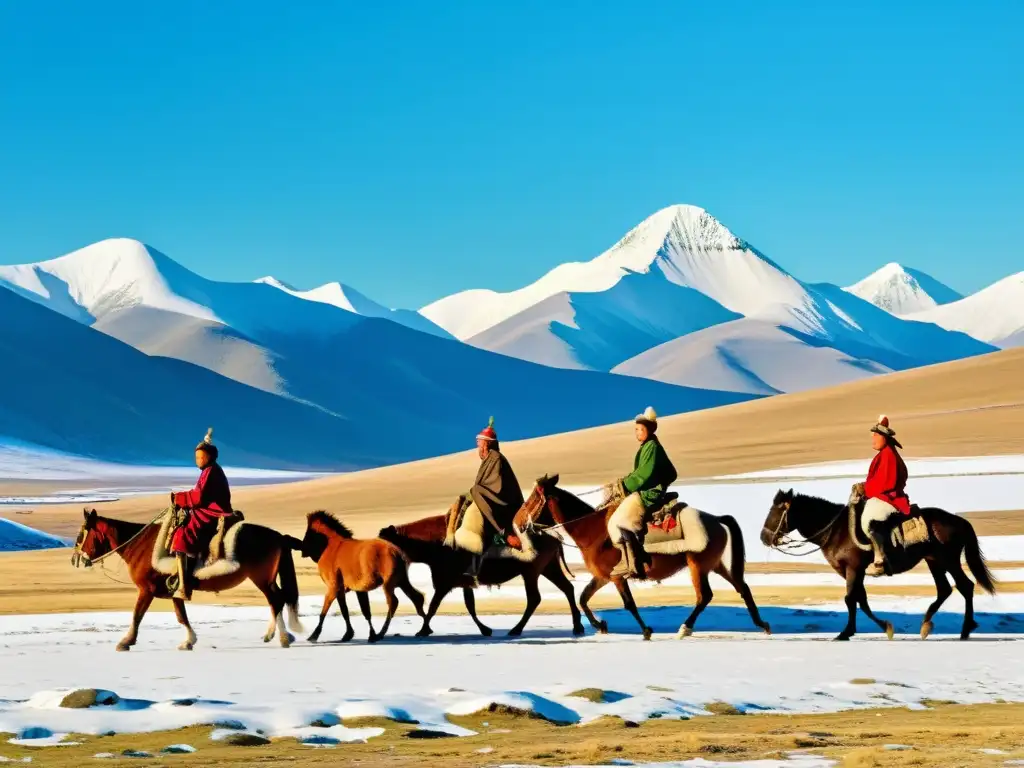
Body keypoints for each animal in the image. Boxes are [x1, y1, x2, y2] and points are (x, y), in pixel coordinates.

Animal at [70, 507, 301, 651]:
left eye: (81, 536)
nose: (74, 559)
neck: (141, 546)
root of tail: (278, 536)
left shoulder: (146, 590)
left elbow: (137, 615)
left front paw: (126, 642)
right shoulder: (175, 589)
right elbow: (181, 616)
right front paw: (189, 641)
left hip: (261, 578)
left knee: (276, 601)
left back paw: (281, 637)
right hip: (267, 579)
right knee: (278, 600)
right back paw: (278, 635)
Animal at [299, 514, 425, 647]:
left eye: (309, 533)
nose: (302, 550)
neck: (333, 547)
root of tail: (396, 552)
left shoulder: (334, 586)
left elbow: (325, 611)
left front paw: (314, 635)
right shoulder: (353, 589)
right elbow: (355, 611)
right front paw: (355, 634)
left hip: (388, 584)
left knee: (394, 602)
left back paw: (381, 633)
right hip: (402, 581)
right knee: (417, 597)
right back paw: (425, 629)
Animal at [378, 514, 585, 638]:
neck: (432, 545)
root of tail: (552, 536)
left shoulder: (444, 582)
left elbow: (433, 607)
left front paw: (423, 630)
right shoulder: (464, 582)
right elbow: (470, 606)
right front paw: (485, 629)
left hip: (531, 571)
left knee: (535, 598)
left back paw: (516, 629)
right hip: (548, 568)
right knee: (567, 588)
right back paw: (577, 627)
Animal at [512, 479, 770, 638]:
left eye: (532, 500)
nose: (516, 522)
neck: (592, 531)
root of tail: (715, 519)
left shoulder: (618, 577)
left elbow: (629, 603)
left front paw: (646, 630)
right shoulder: (603, 576)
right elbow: (584, 598)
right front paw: (600, 625)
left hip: (698, 565)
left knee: (704, 596)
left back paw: (685, 628)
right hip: (715, 565)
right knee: (742, 587)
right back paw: (762, 625)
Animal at [765, 493, 995, 643]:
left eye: (776, 512)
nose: (763, 537)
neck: (836, 530)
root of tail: (959, 521)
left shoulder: (853, 568)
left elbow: (851, 599)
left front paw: (846, 632)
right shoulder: (851, 572)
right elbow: (861, 599)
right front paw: (884, 627)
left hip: (948, 560)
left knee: (965, 586)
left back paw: (965, 630)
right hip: (933, 560)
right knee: (945, 589)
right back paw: (927, 626)